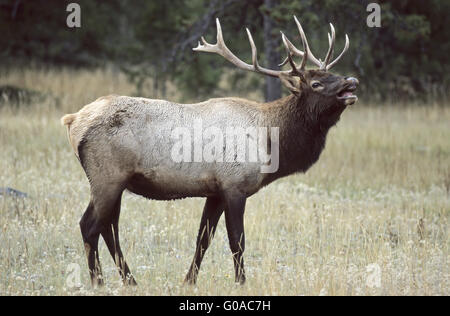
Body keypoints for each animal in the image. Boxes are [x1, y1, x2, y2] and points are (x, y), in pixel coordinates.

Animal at [62, 16, 358, 286]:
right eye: (316, 83)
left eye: (334, 75)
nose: (352, 81)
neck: (271, 142)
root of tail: (73, 120)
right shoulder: (234, 185)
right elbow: (237, 240)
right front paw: (241, 282)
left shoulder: (215, 191)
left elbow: (203, 239)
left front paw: (189, 281)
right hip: (107, 176)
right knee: (89, 226)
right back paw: (98, 282)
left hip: (117, 181)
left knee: (109, 228)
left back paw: (130, 281)